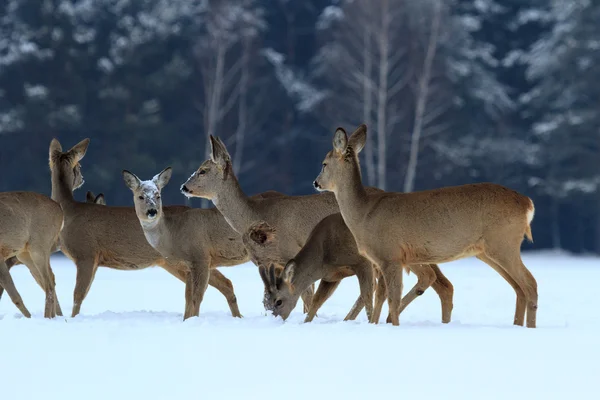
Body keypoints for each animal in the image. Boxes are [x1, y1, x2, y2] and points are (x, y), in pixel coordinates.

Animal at [50, 139, 274, 320]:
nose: (82, 179)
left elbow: (77, 295)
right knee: (225, 284)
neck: (69, 210)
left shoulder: (86, 253)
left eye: (78, 166)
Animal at [241, 217, 452, 324]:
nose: (273, 321)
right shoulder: (331, 276)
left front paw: (369, 322)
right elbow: (317, 300)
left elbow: (366, 295)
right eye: (264, 303)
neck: (324, 253)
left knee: (428, 276)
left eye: (278, 301)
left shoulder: (362, 262)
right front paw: (307, 322)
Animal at [314, 125, 540, 328]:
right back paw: (517, 325)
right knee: (518, 287)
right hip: (486, 251)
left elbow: (392, 299)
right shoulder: (382, 260)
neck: (364, 213)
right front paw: (376, 325)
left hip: (503, 243)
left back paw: (530, 328)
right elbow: (380, 298)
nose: (316, 183)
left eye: (324, 164)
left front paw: (392, 325)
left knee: (530, 283)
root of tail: (527, 203)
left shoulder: (391, 255)